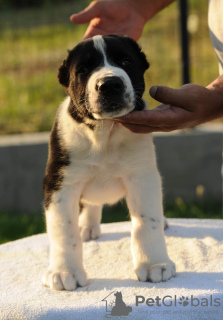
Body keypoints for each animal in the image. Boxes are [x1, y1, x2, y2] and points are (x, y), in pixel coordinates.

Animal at [41, 34, 176, 290]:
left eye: (125, 61)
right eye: (83, 70)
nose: (110, 84)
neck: (105, 132)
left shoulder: (142, 177)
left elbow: (147, 221)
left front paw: (154, 263)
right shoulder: (60, 184)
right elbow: (64, 230)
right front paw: (65, 271)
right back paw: (86, 226)